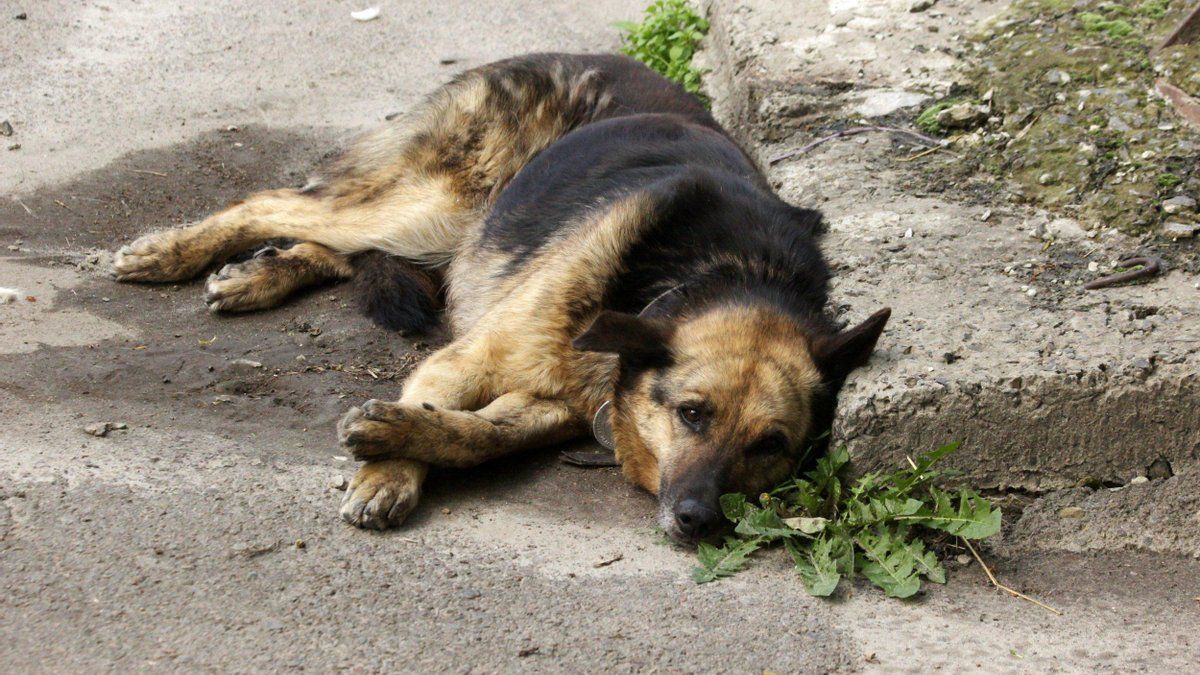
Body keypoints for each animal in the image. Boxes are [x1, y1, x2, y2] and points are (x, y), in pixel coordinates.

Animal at [112, 53, 888, 540]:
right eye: (693, 414)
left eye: (771, 444)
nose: (699, 520)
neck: (716, 273)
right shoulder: (465, 362)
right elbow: (447, 403)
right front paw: (387, 470)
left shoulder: (553, 403)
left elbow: (480, 435)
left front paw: (397, 437)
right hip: (433, 207)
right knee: (276, 203)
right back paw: (170, 252)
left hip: (436, 231)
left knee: (334, 245)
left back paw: (258, 274)